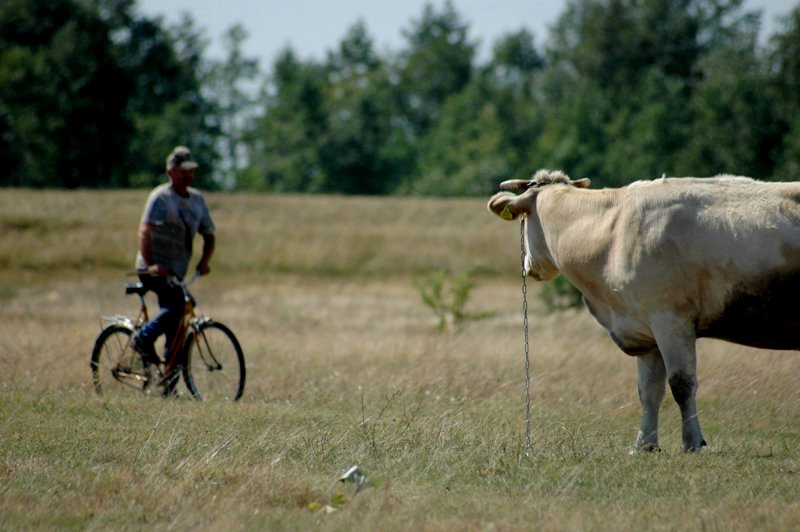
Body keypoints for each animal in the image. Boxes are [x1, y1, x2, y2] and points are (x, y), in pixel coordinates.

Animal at [488, 168, 800, 450]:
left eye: (525, 222)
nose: (528, 267)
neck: (611, 234)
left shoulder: (670, 320)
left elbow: (682, 384)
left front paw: (693, 441)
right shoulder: (644, 331)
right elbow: (648, 390)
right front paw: (644, 444)